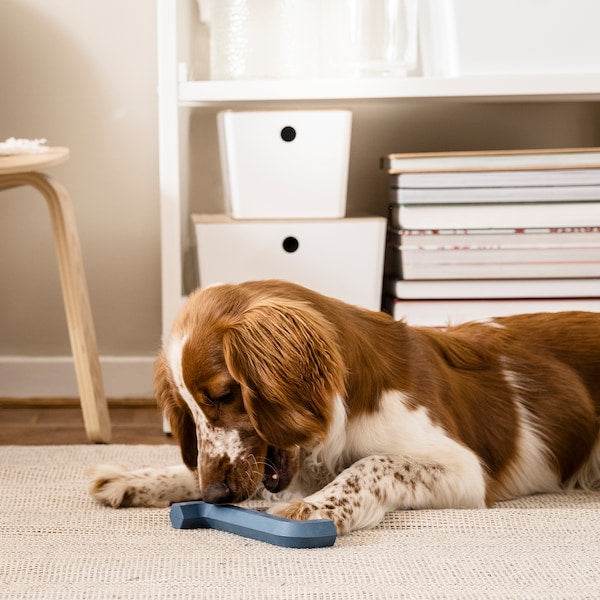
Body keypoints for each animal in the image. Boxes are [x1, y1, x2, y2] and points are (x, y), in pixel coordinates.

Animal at [89, 282, 600, 536]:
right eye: (186, 409)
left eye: (222, 393)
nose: (214, 498)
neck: (343, 411)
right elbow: (192, 468)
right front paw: (134, 478)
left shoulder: (465, 470)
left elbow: (372, 464)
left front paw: (314, 508)